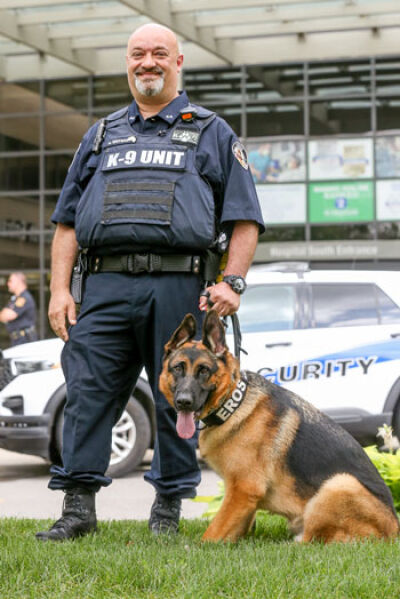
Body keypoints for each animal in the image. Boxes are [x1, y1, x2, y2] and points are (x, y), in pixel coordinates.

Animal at [160, 312, 400, 548]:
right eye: (178, 368)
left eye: (204, 371)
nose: (184, 402)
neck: (233, 404)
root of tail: (395, 530)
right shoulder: (243, 499)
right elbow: (232, 530)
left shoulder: (243, 489)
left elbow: (211, 534)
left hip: (339, 483)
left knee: (313, 542)